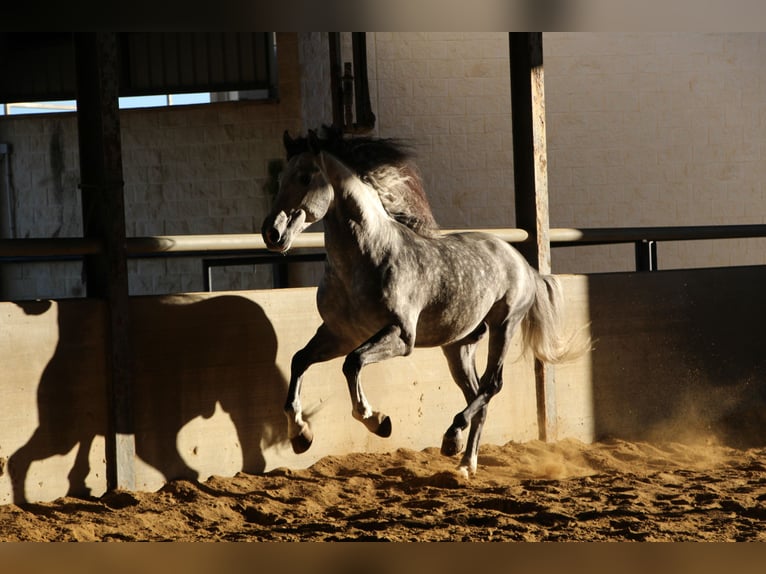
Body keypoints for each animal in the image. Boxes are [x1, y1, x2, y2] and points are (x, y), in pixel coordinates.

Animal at [260, 130, 584, 476]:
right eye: (280, 178)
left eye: (305, 177)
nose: (271, 233)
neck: (366, 258)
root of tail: (524, 264)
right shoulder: (339, 334)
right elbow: (299, 360)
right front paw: (301, 435)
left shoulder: (402, 337)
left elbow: (352, 363)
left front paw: (377, 421)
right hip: (458, 346)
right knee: (477, 395)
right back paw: (465, 463)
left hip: (505, 325)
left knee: (492, 385)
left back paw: (452, 438)